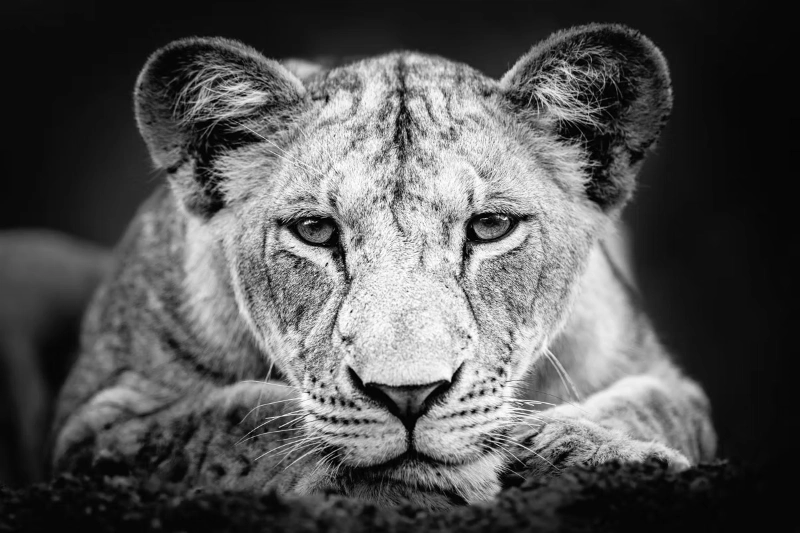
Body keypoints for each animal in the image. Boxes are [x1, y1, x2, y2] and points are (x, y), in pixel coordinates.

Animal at [51, 23, 716, 509]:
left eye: (490, 227)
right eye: (314, 231)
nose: (408, 396)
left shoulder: (664, 376)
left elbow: (656, 405)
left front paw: (590, 451)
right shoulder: (93, 429)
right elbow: (241, 419)